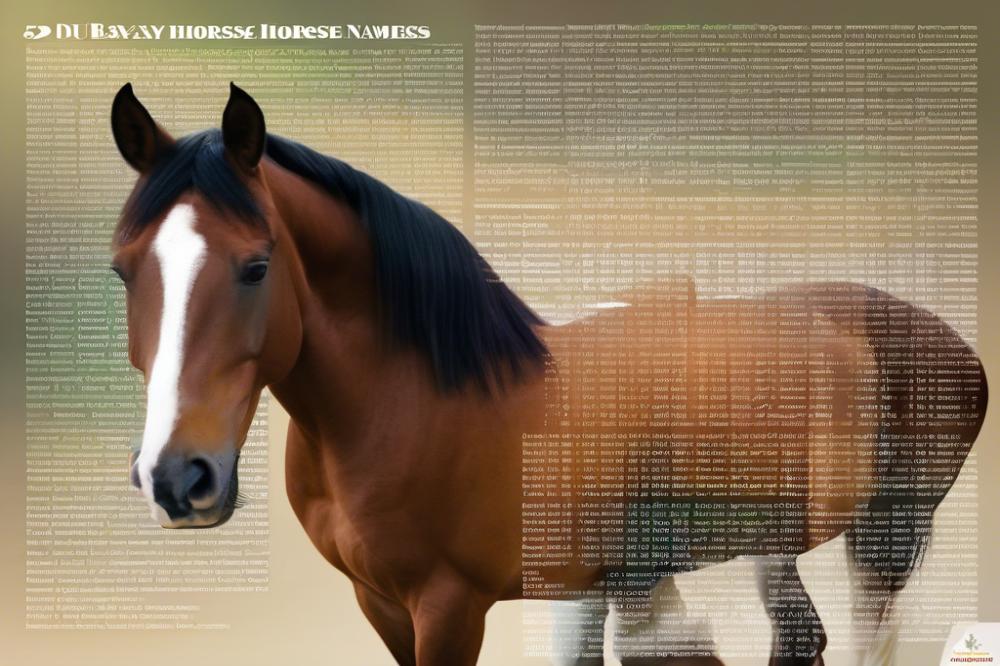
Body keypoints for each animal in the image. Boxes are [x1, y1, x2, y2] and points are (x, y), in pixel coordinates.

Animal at [110, 83, 988, 666]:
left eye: (256, 266)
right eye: (123, 269)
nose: (179, 478)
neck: (422, 401)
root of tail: (953, 342)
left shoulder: (451, 605)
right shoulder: (383, 602)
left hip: (886, 537)